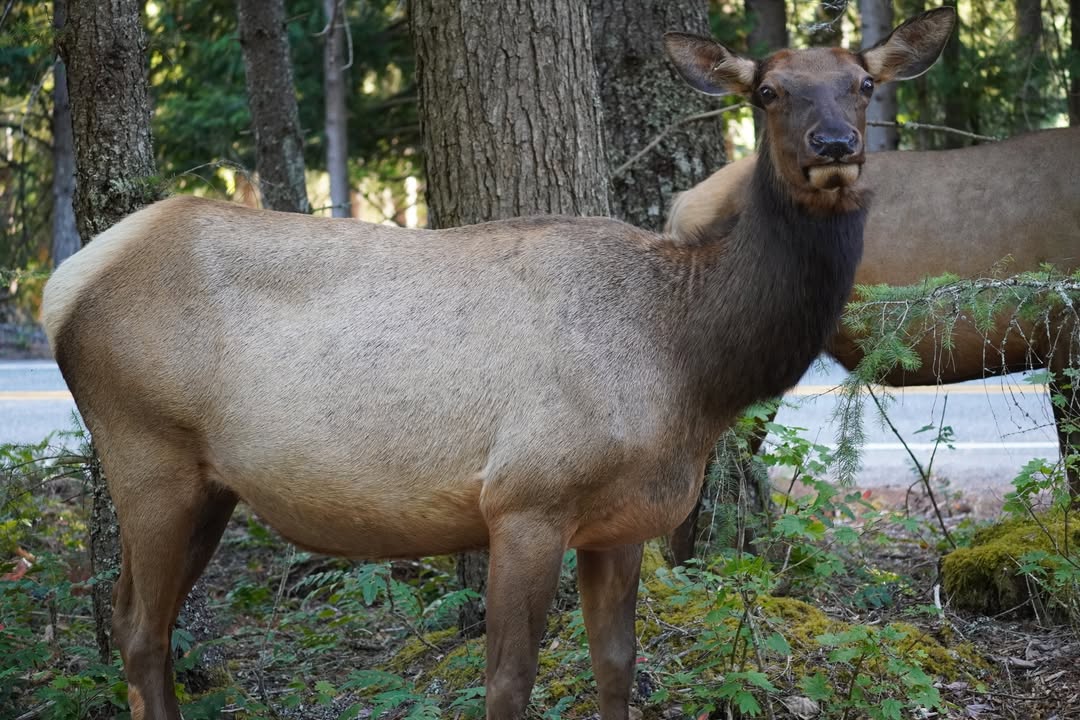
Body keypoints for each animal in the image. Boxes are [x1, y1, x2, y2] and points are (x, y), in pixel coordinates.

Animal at [40, 9, 954, 720]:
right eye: (767, 92)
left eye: (861, 84)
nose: (834, 145)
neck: (690, 366)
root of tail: (62, 288)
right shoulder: (525, 498)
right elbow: (509, 682)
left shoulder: (622, 519)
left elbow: (615, 665)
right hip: (148, 453)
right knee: (138, 631)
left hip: (209, 483)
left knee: (143, 623)